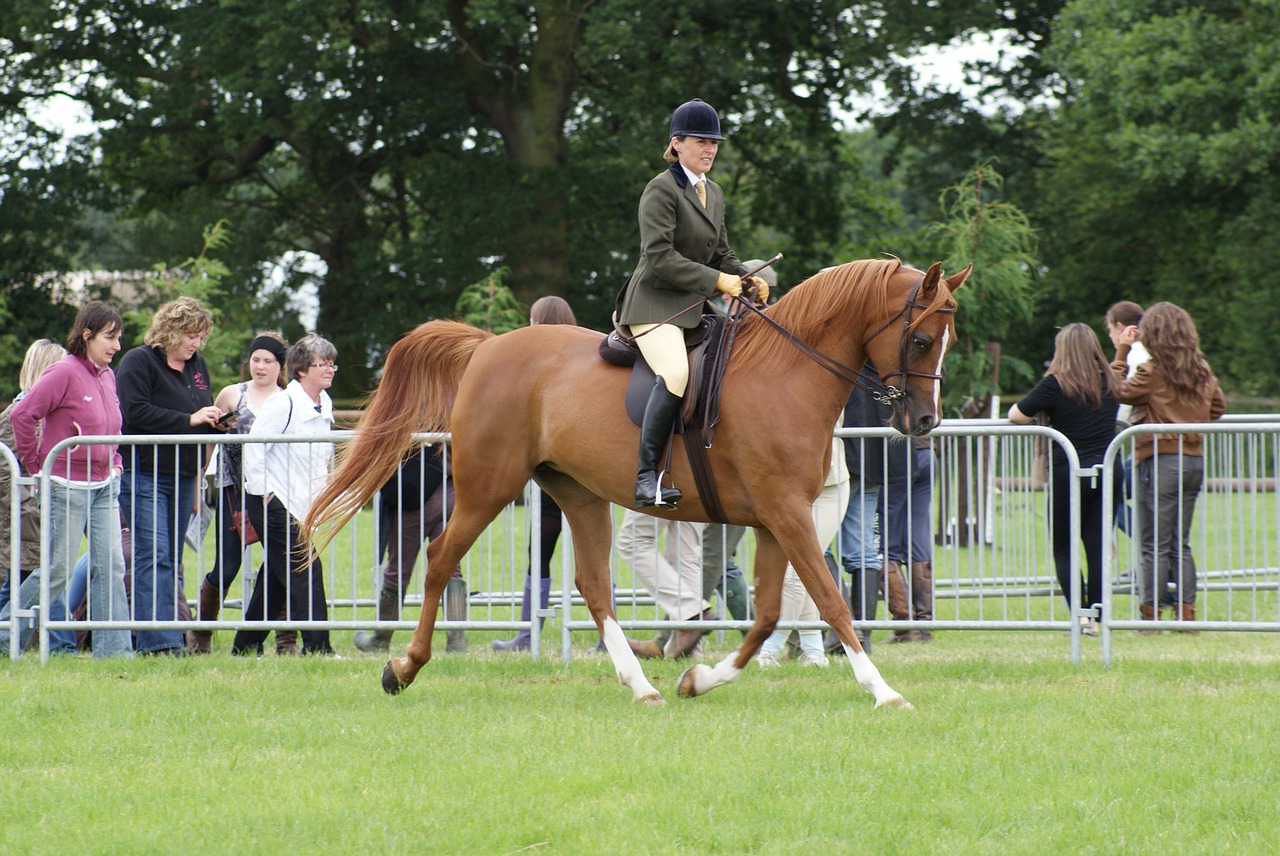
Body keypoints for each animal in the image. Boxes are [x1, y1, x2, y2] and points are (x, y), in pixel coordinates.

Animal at [307, 258, 967, 706]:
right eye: (919, 338)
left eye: (947, 340)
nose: (923, 423)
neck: (786, 372)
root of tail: (490, 348)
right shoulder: (786, 514)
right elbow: (830, 601)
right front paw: (883, 691)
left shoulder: (778, 519)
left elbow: (768, 614)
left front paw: (698, 679)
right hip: (488, 487)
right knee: (442, 559)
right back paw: (403, 668)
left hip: (577, 494)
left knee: (594, 583)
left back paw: (640, 684)